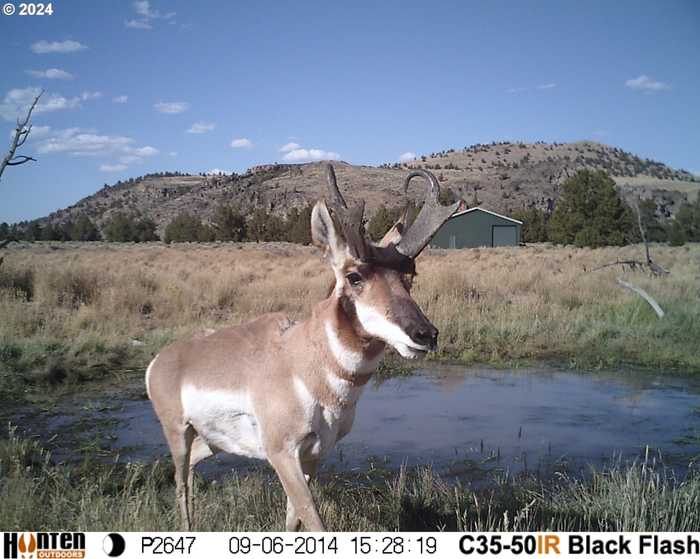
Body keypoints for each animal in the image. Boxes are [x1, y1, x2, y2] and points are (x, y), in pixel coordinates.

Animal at [148, 164, 460, 532]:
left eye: (410, 277)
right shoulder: (282, 454)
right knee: (180, 479)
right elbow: (313, 518)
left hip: (213, 440)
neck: (305, 362)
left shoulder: (314, 455)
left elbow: (293, 519)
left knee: (193, 466)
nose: (426, 334)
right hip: (177, 431)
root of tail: (162, 358)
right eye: (354, 276)